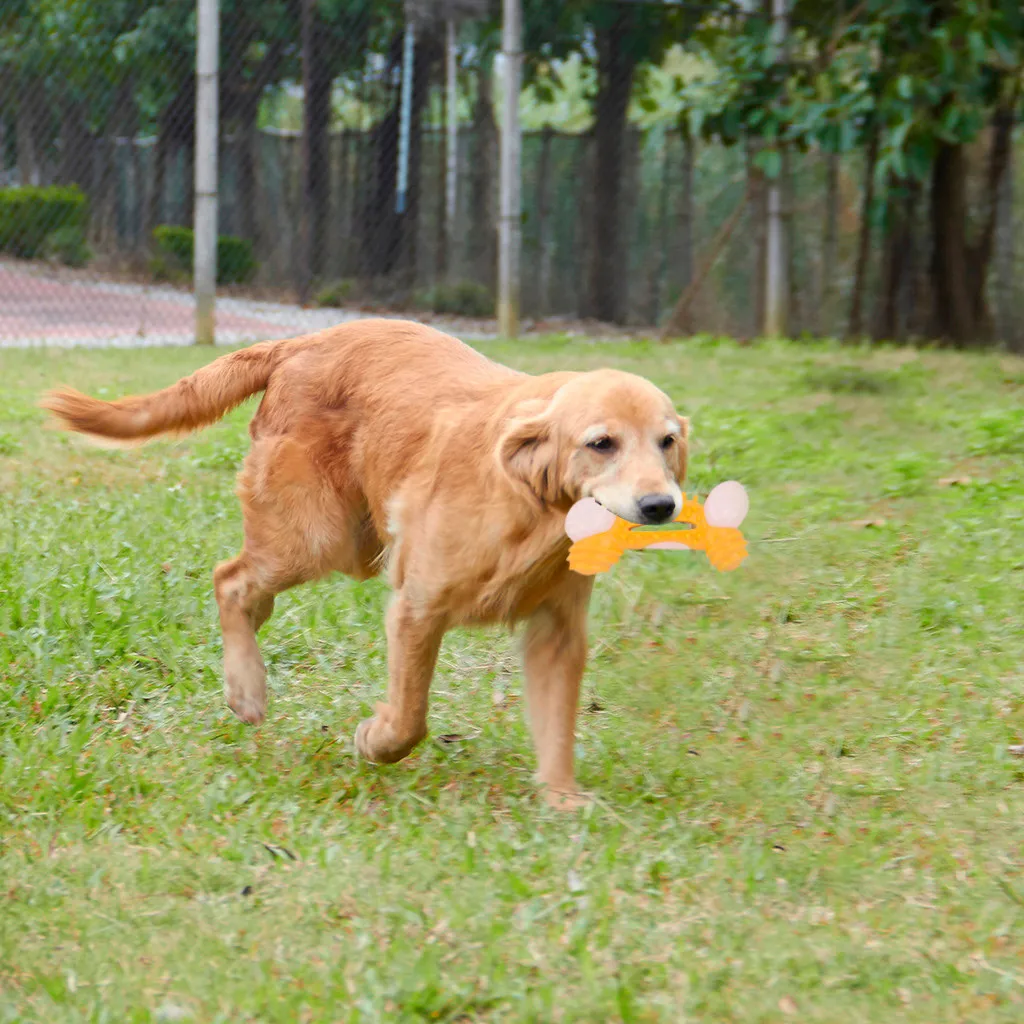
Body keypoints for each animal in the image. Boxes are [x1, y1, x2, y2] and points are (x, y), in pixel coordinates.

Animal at [46, 319, 688, 806]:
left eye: (667, 442)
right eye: (601, 443)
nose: (661, 505)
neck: (533, 504)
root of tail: (301, 342)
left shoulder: (557, 631)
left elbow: (556, 724)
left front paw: (561, 799)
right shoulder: (417, 607)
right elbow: (410, 718)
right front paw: (374, 741)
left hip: (347, 542)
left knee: (249, 593)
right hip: (316, 535)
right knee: (230, 580)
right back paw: (247, 688)